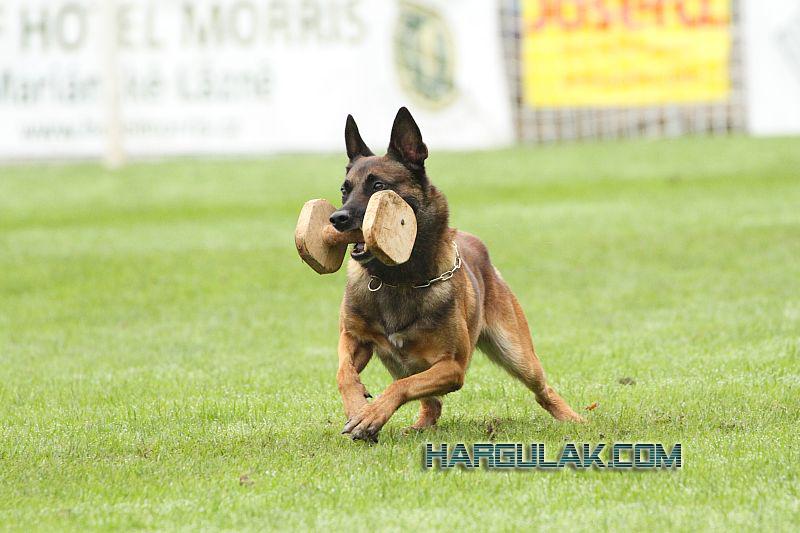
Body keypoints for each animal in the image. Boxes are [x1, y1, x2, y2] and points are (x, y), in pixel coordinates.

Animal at [332, 107, 583, 442]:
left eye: (378, 186)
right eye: (344, 190)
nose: (337, 218)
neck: (399, 279)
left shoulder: (452, 367)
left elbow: (400, 387)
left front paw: (369, 415)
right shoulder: (354, 338)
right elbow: (344, 372)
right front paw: (359, 407)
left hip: (517, 353)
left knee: (543, 389)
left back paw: (574, 419)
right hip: (398, 361)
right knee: (431, 403)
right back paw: (418, 426)